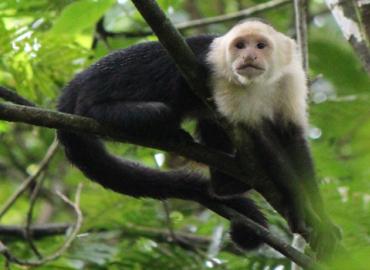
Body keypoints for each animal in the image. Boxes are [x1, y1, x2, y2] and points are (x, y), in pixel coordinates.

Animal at [57, 20, 332, 251]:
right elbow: (259, 139)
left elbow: (292, 139)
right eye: (240, 45)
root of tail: (77, 83)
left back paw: (225, 183)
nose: (248, 56)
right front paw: (300, 209)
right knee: (161, 112)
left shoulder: (290, 78)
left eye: (261, 46)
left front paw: (320, 218)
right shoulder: (218, 75)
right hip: (96, 110)